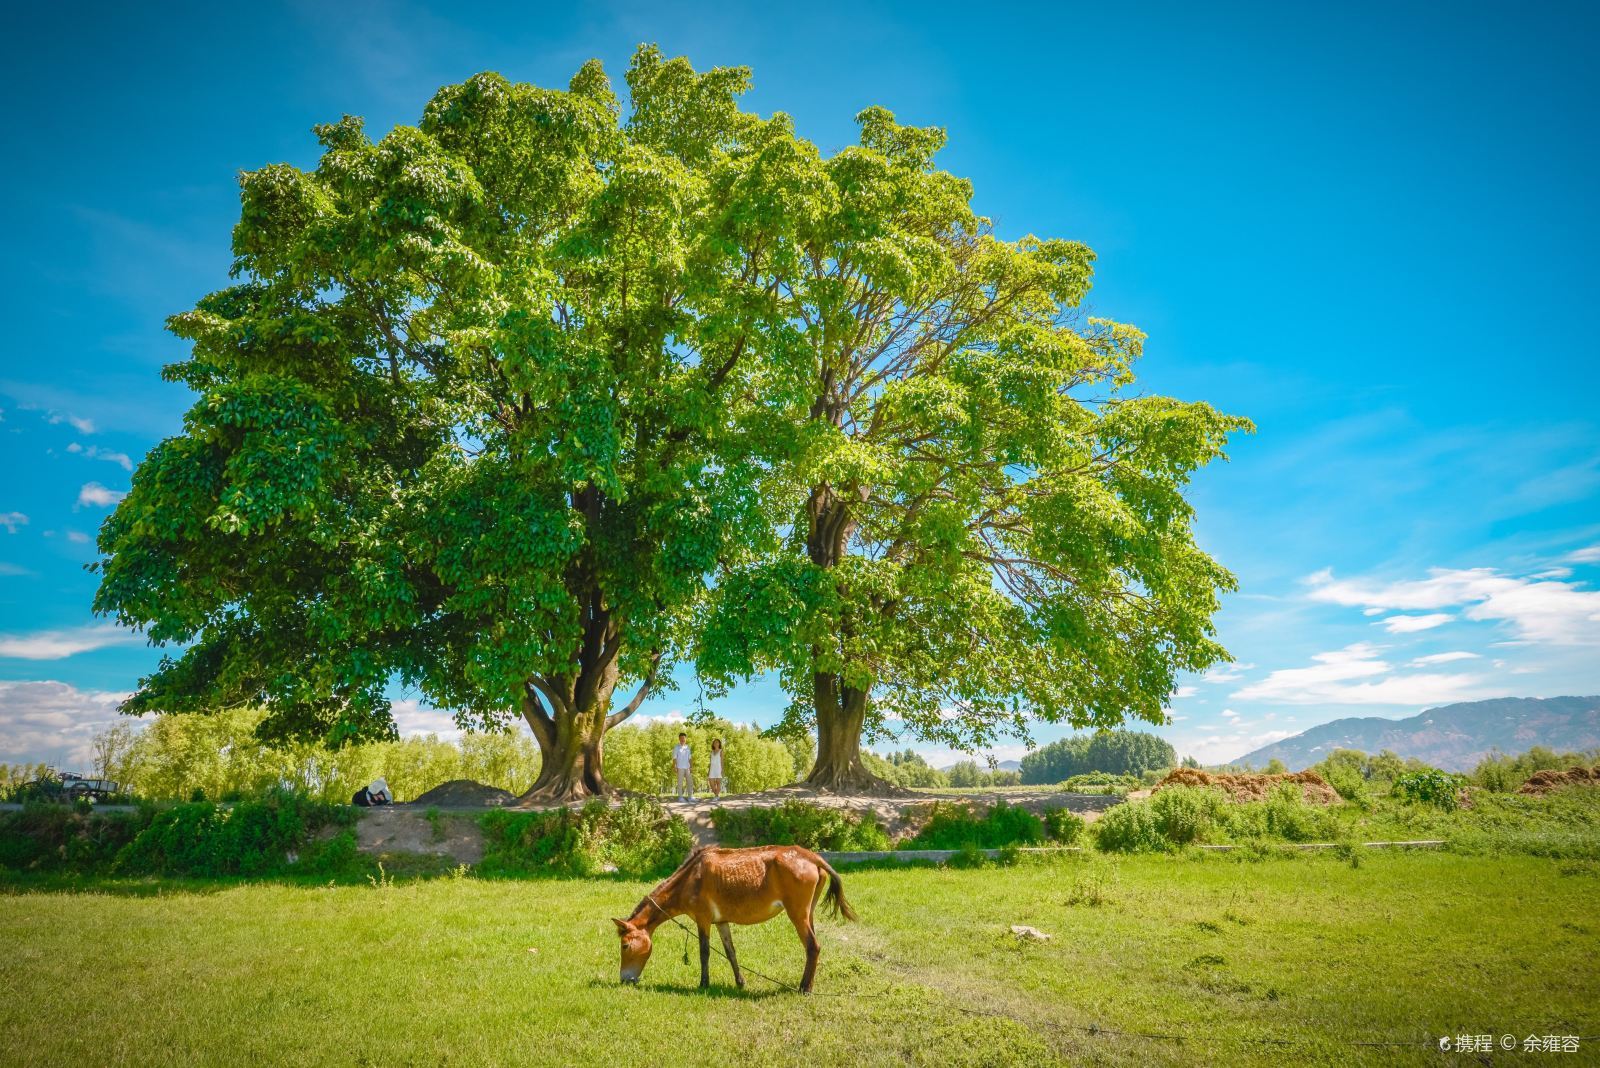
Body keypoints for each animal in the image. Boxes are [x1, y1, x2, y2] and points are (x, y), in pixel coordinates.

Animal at [611, 844, 857, 991]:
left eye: (625, 945)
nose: (625, 979)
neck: (690, 879)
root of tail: (811, 857)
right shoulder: (721, 921)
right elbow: (730, 952)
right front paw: (740, 982)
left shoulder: (702, 918)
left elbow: (704, 952)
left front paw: (703, 983)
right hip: (809, 912)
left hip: (797, 913)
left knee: (813, 946)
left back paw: (804, 987)